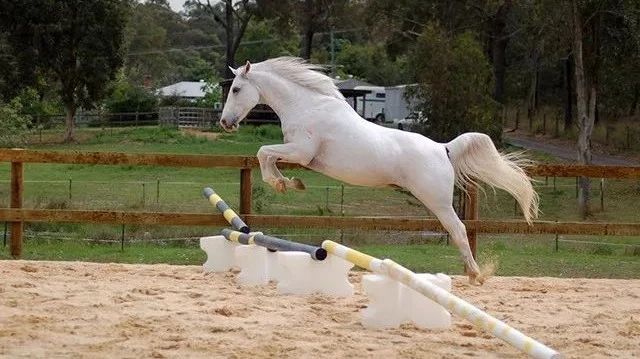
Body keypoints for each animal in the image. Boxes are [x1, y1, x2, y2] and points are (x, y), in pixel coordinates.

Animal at [218, 57, 536, 286]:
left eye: (236, 89)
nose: (225, 122)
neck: (306, 106)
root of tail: (443, 148)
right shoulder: (299, 155)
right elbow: (268, 158)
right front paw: (290, 183)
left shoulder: (301, 152)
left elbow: (263, 153)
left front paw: (283, 183)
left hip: (438, 202)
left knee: (458, 230)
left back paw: (474, 274)